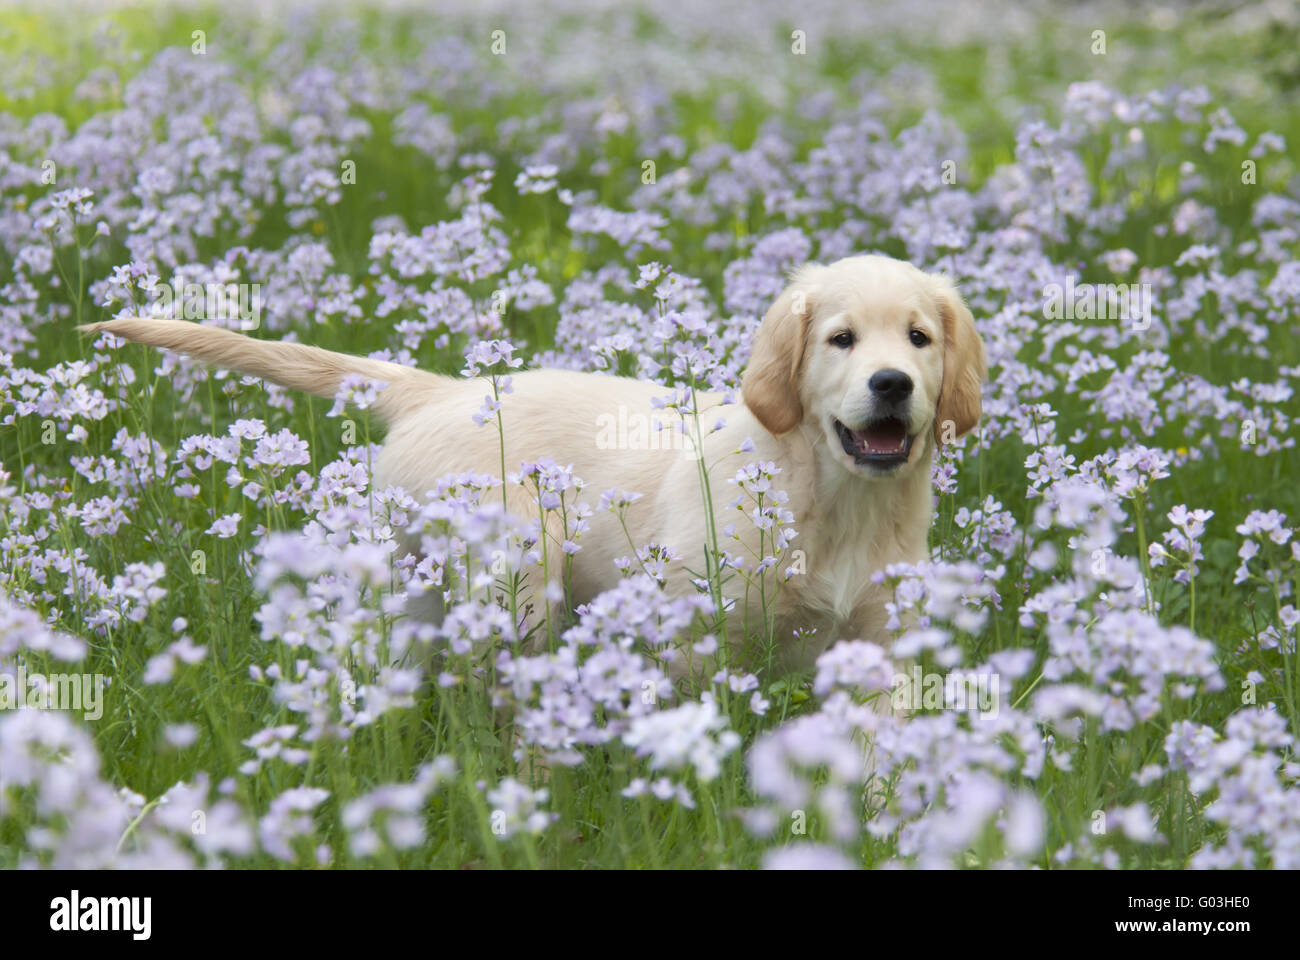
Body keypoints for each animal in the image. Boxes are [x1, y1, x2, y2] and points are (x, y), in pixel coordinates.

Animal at [81, 251, 982, 676]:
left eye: (918, 338)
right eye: (840, 339)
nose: (892, 384)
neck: (831, 498)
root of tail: (442, 391)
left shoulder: (883, 644)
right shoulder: (698, 630)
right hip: (514, 572)